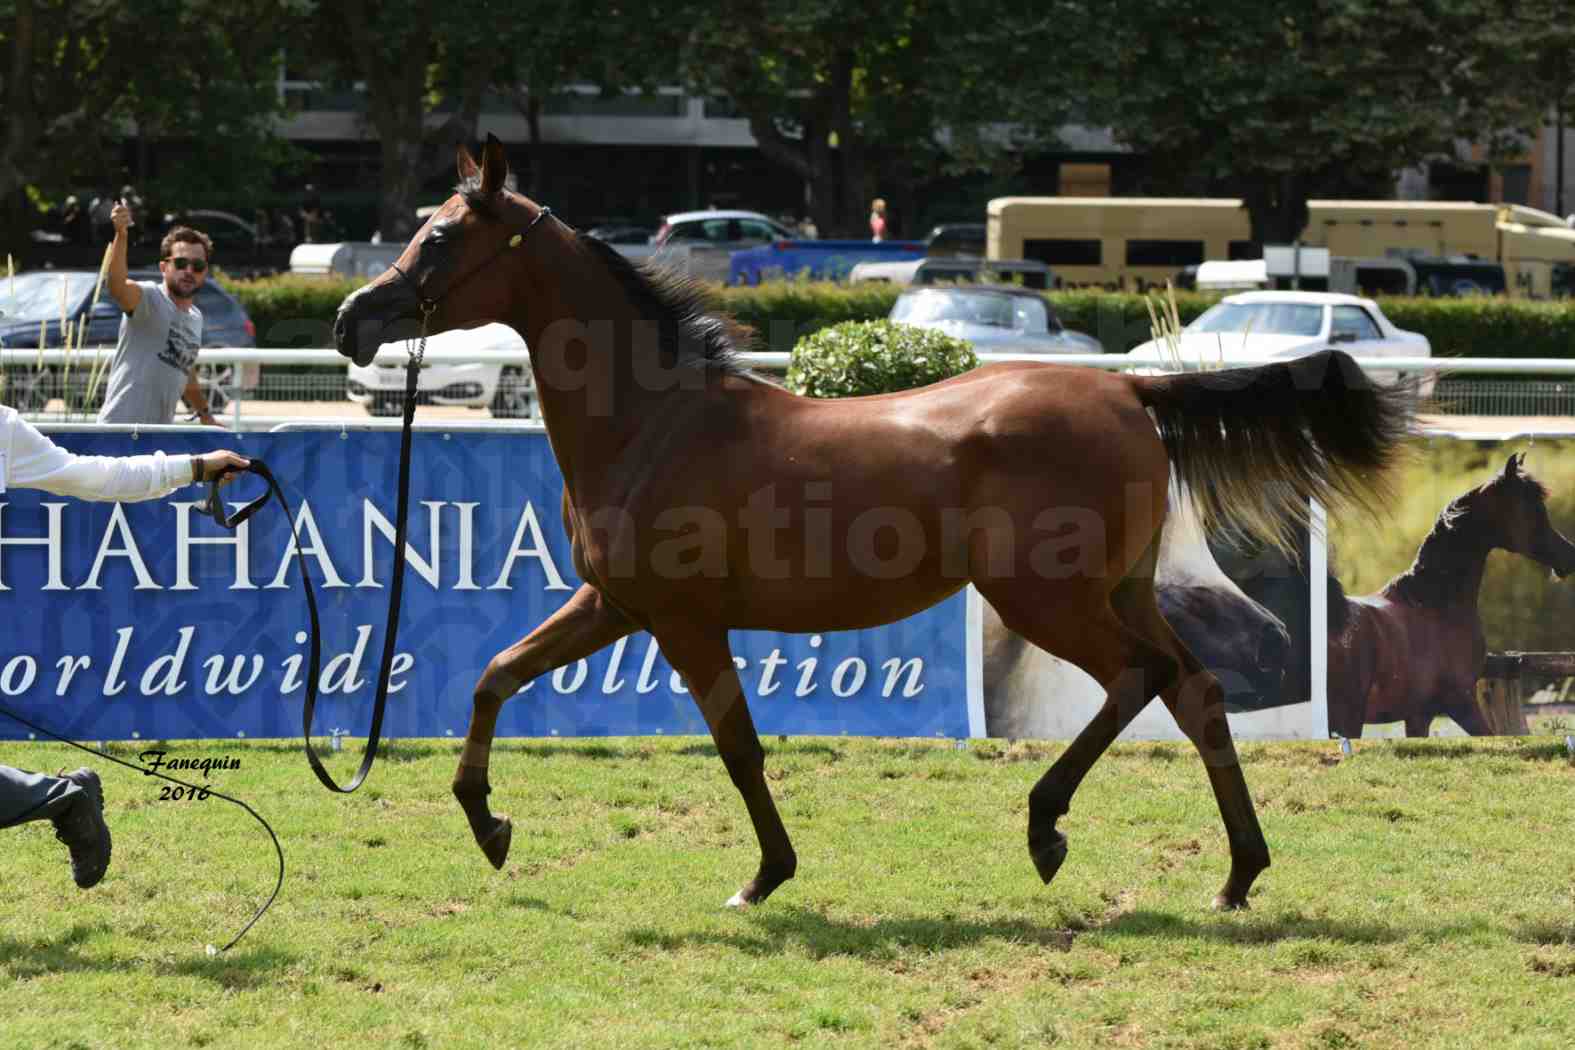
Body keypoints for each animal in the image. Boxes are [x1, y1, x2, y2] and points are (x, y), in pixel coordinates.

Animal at [335, 137, 1417, 913]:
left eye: (440, 239)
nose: (352, 319)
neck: (654, 419)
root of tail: (1129, 391)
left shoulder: (682, 621)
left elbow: (737, 745)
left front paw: (763, 877)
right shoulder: (614, 603)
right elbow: (494, 677)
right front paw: (490, 827)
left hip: (1046, 599)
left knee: (1140, 680)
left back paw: (1047, 828)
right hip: (1123, 589)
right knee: (1194, 692)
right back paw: (1235, 874)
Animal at [1329, 453, 1575, 739]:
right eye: (1531, 508)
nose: (1568, 557)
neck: (1434, 605)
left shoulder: (1419, 716)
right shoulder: (1460, 701)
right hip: (1349, 720)